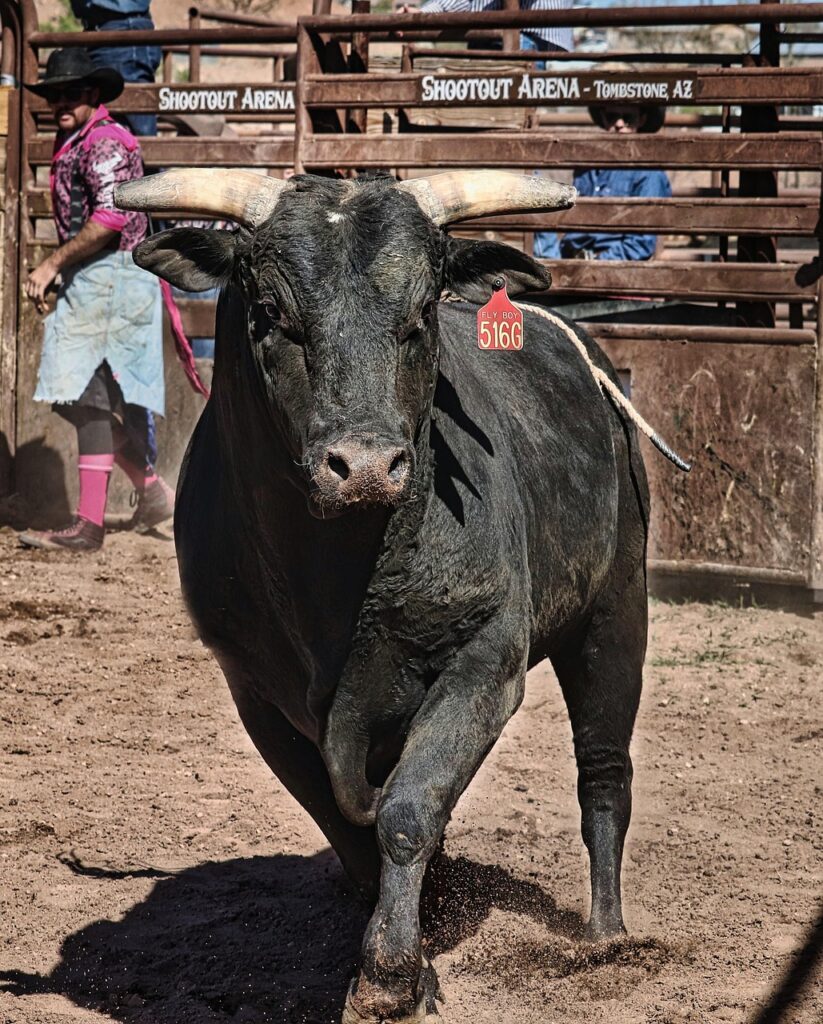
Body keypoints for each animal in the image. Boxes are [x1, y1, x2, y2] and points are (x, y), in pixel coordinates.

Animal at [116, 168, 652, 1024]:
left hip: (613, 612)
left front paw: (391, 975)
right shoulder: (254, 691)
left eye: (423, 311)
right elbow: (349, 829)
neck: (339, 582)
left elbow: (406, 812)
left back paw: (604, 938)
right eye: (271, 313)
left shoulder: (481, 664)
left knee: (602, 770)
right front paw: (413, 953)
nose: (364, 466)